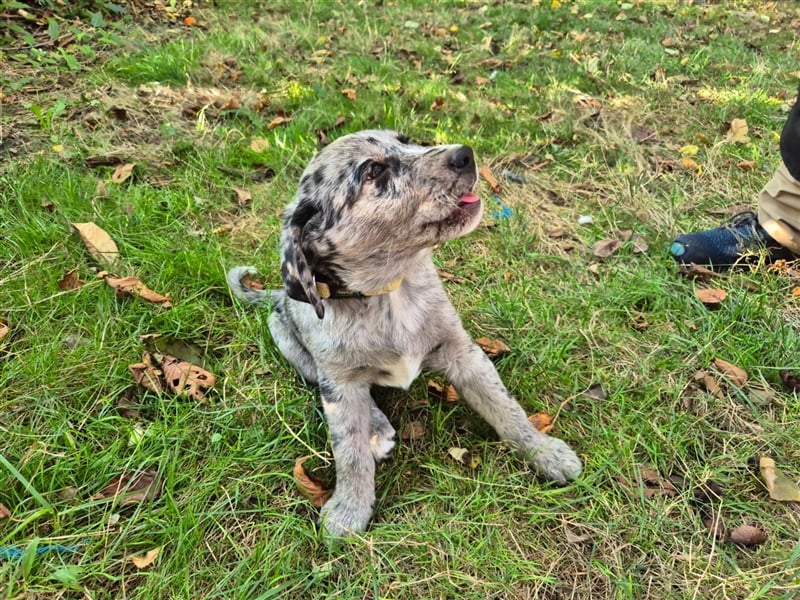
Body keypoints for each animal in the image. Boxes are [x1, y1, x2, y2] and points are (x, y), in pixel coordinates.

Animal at [228, 130, 584, 536]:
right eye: (374, 171)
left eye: (406, 140)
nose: (466, 154)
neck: (388, 291)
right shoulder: (339, 384)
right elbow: (348, 450)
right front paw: (349, 509)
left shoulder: (463, 351)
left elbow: (505, 407)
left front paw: (544, 451)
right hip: (289, 341)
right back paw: (377, 429)